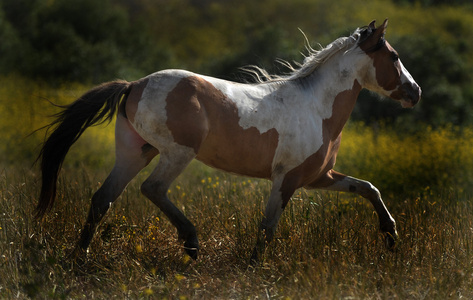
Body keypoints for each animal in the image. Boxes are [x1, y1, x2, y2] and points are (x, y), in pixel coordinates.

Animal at [36, 19, 420, 262]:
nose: (415, 92)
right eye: (394, 56)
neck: (317, 107)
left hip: (135, 152)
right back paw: (191, 244)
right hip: (177, 153)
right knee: (152, 189)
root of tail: (133, 85)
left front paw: (391, 236)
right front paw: (252, 268)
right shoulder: (287, 179)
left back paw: (81, 256)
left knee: (103, 199)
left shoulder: (317, 178)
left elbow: (369, 188)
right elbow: (267, 228)